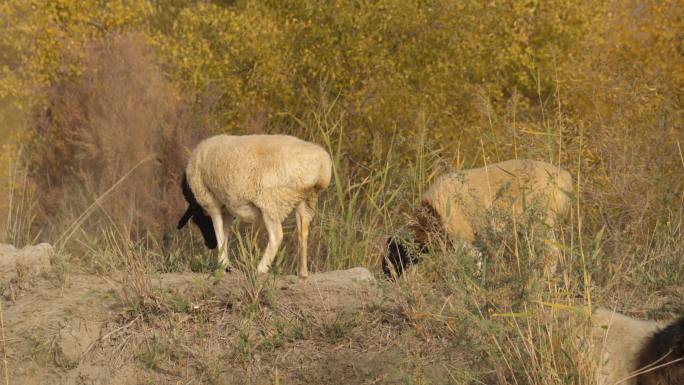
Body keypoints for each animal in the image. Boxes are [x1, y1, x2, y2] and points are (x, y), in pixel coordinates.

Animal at [178, 134, 332, 278]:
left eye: (197, 221)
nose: (210, 245)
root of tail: (321, 166)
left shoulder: (211, 202)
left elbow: (218, 229)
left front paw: (222, 265)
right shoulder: (226, 208)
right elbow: (225, 231)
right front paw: (227, 265)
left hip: (271, 203)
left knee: (277, 236)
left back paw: (260, 269)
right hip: (305, 203)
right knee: (303, 234)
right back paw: (302, 272)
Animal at [384, 158, 572, 278]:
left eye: (396, 252)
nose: (388, 276)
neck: (433, 214)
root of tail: (564, 178)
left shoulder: (462, 235)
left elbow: (473, 261)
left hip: (540, 221)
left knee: (551, 253)